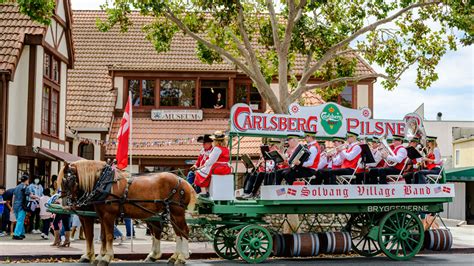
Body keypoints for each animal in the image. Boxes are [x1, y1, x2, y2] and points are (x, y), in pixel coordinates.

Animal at [58, 159, 196, 264]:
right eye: (62, 181)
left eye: (69, 180)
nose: (65, 203)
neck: (103, 183)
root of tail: (183, 181)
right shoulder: (100, 216)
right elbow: (101, 236)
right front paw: (97, 256)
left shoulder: (106, 216)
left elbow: (106, 236)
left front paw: (105, 257)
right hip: (168, 214)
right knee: (173, 232)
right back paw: (170, 257)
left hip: (177, 212)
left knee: (183, 231)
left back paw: (182, 257)